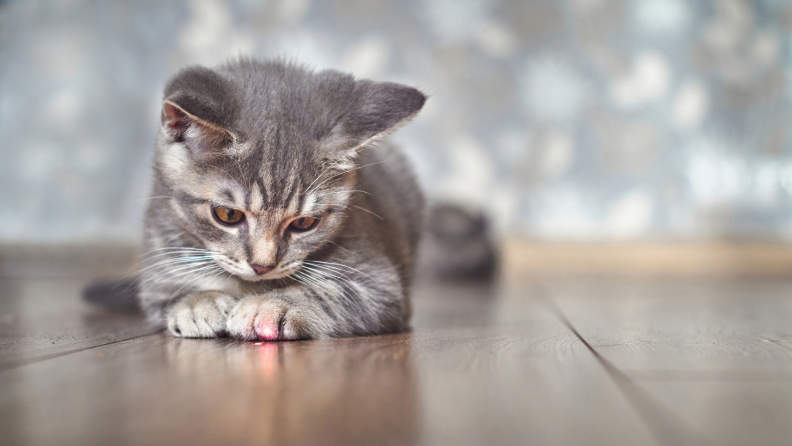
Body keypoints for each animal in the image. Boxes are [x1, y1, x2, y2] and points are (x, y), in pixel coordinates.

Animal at [142, 57, 426, 340]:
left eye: (304, 223)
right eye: (228, 215)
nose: (262, 266)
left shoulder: (381, 284)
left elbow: (331, 293)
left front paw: (268, 305)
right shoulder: (157, 272)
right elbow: (171, 293)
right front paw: (199, 303)